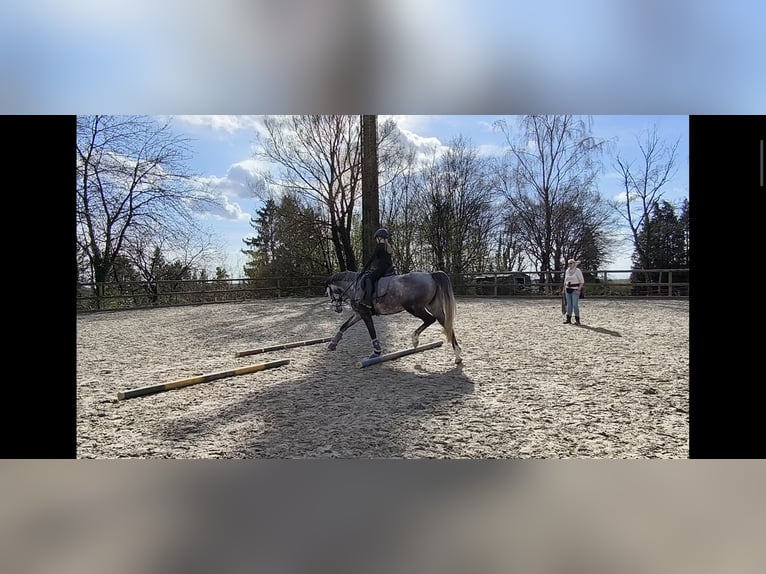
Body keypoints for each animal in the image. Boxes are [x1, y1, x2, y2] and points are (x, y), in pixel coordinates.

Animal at [324, 272, 462, 364]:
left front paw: (376, 352)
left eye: (329, 292)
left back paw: (415, 339)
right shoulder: (358, 314)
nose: (337, 309)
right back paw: (457, 356)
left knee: (430, 320)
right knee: (446, 324)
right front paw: (332, 344)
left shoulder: (365, 314)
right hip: (433, 307)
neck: (355, 287)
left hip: (414, 308)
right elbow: (344, 326)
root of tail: (430, 275)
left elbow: (371, 331)